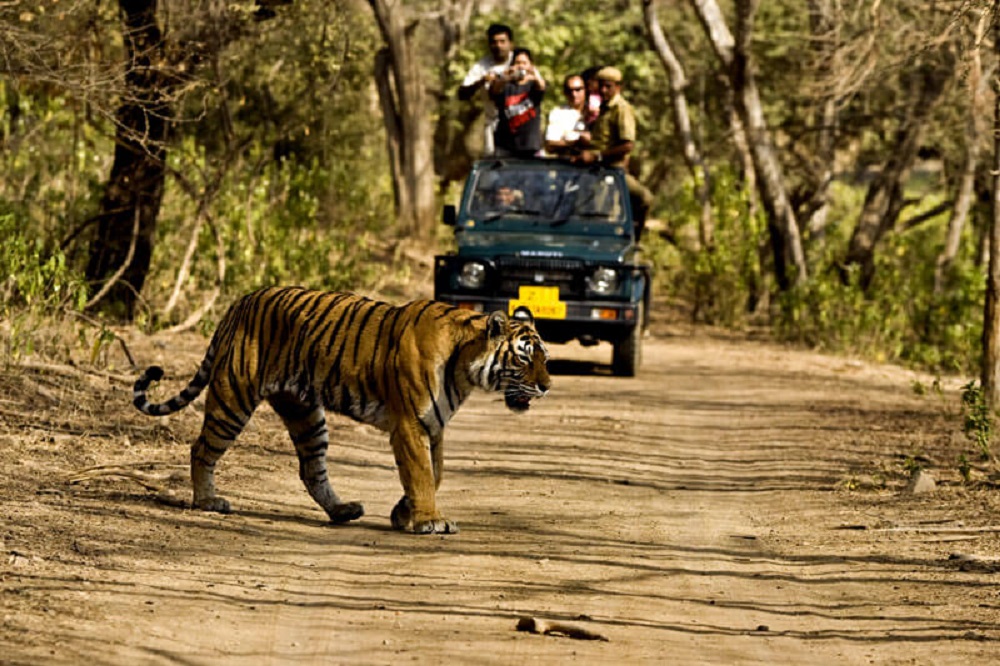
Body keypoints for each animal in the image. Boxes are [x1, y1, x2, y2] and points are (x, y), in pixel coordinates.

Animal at [130, 282, 552, 532]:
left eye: (545, 358)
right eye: (524, 358)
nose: (547, 386)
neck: (465, 368)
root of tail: (240, 301)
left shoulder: (435, 426)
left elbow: (435, 473)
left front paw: (404, 514)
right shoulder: (411, 423)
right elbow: (421, 474)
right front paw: (429, 520)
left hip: (305, 413)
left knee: (311, 469)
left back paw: (342, 511)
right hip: (234, 397)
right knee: (201, 448)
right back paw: (207, 501)